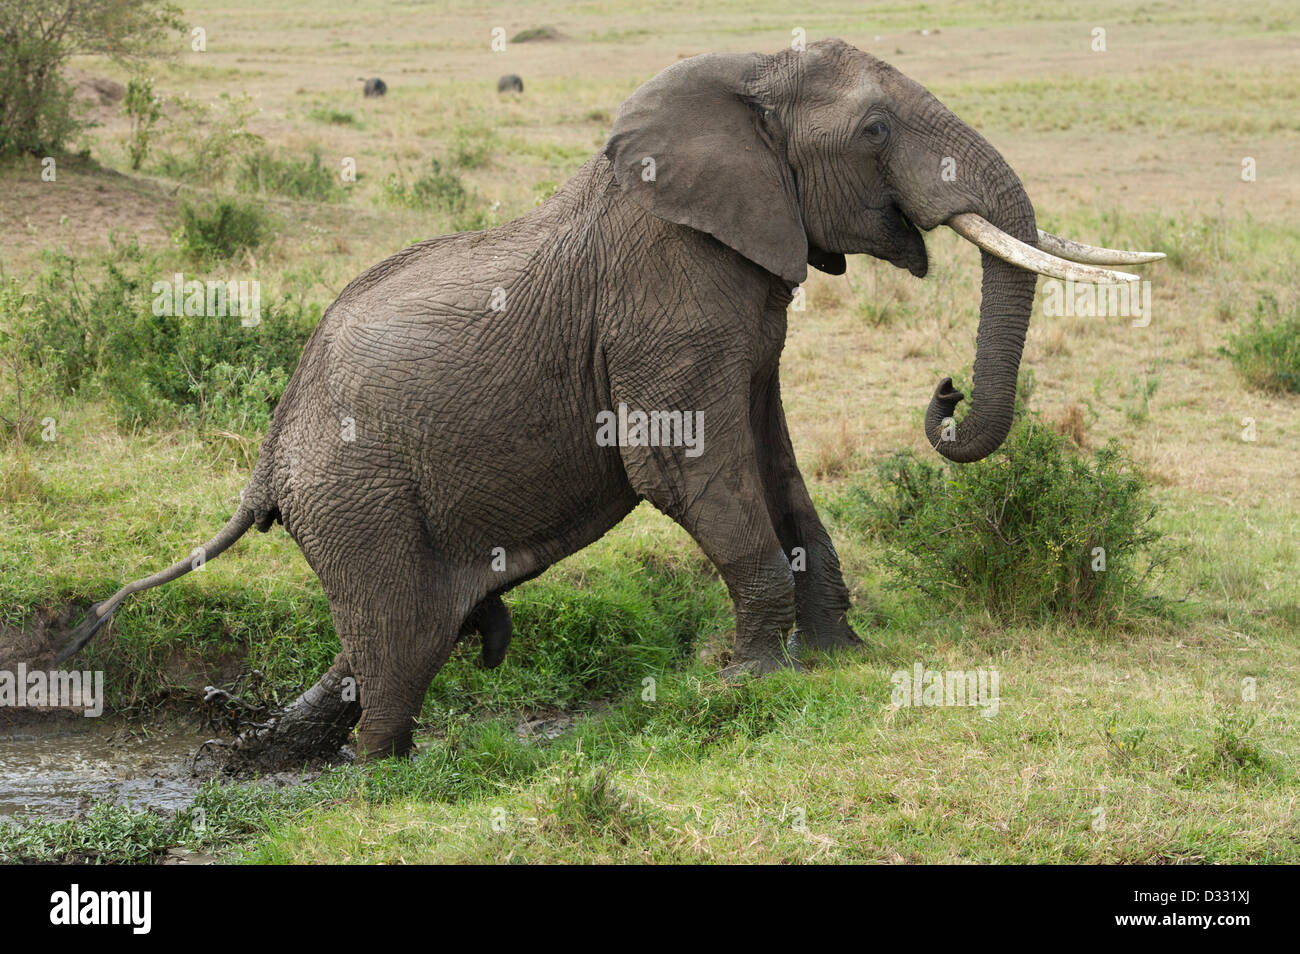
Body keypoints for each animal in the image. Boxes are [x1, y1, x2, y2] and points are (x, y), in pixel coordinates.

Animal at [60, 39, 1162, 761]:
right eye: (877, 127)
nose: (942, 395)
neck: (742, 81)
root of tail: (268, 452)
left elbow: (774, 465)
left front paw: (840, 656)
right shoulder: (666, 306)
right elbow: (681, 468)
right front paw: (752, 681)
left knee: (383, 645)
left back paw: (281, 744)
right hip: (356, 495)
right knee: (400, 650)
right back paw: (376, 770)